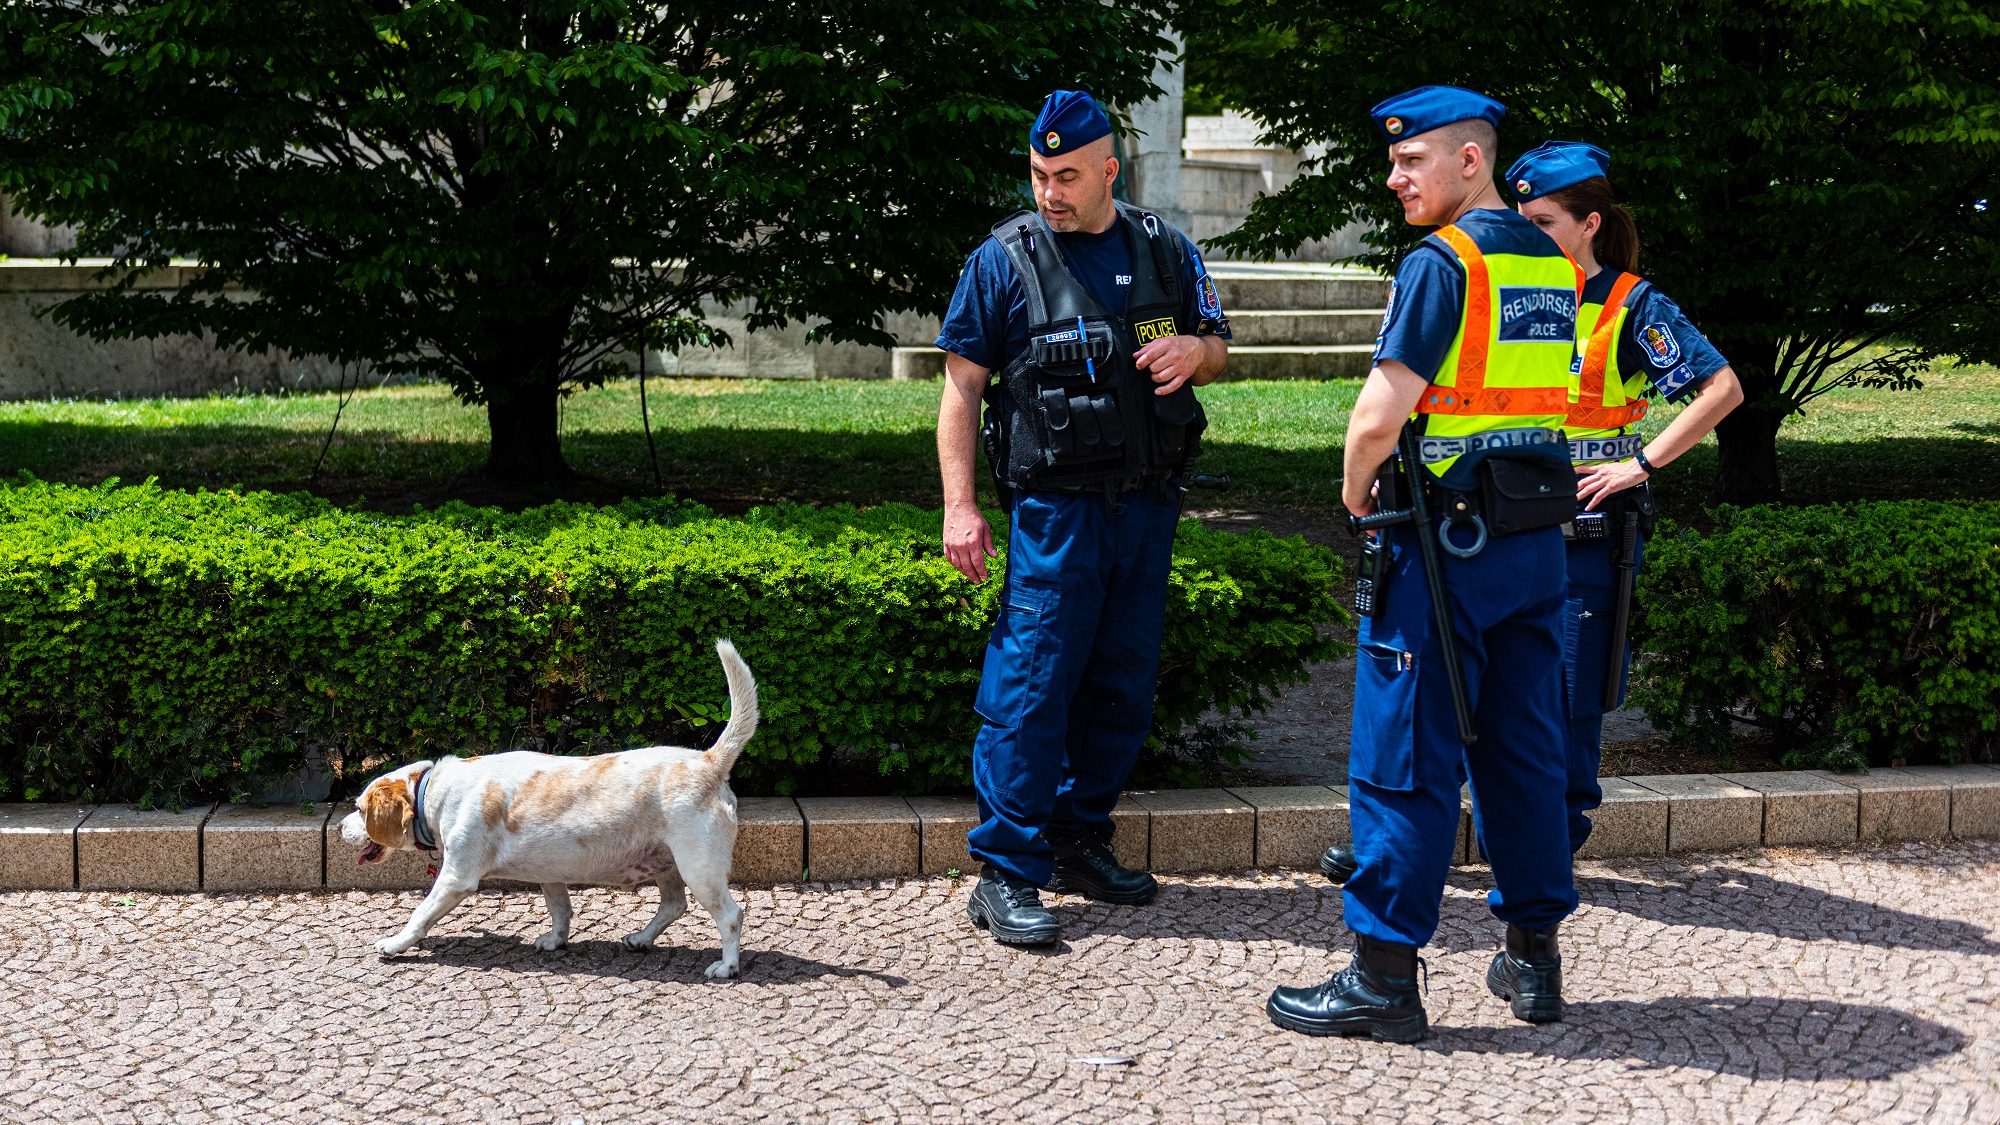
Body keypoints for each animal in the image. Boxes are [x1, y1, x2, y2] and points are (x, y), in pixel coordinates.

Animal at [338, 640, 756, 972]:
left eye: (359, 809)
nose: (340, 828)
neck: (435, 790)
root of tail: (710, 760)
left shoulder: (456, 878)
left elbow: (420, 914)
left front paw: (395, 943)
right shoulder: (550, 873)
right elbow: (560, 909)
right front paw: (556, 941)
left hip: (698, 867)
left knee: (730, 916)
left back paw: (726, 966)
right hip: (667, 864)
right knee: (673, 906)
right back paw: (640, 938)